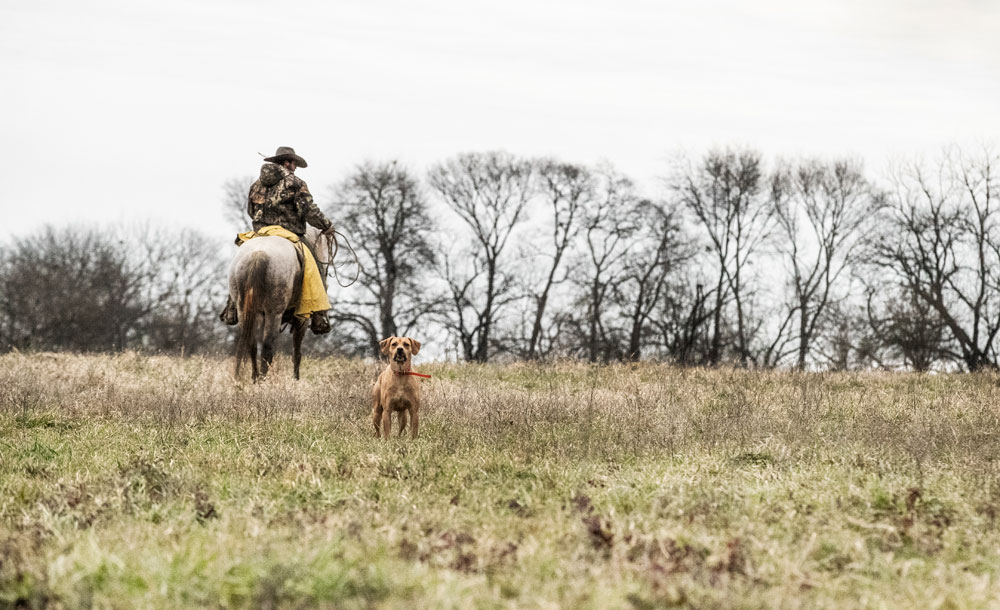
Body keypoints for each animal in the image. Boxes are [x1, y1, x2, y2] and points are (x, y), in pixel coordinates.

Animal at [227, 227, 328, 380]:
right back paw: (262, 380)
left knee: (251, 344)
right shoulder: (302, 319)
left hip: (244, 310)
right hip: (274, 312)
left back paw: (253, 378)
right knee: (267, 347)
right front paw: (295, 379)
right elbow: (297, 353)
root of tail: (259, 254)